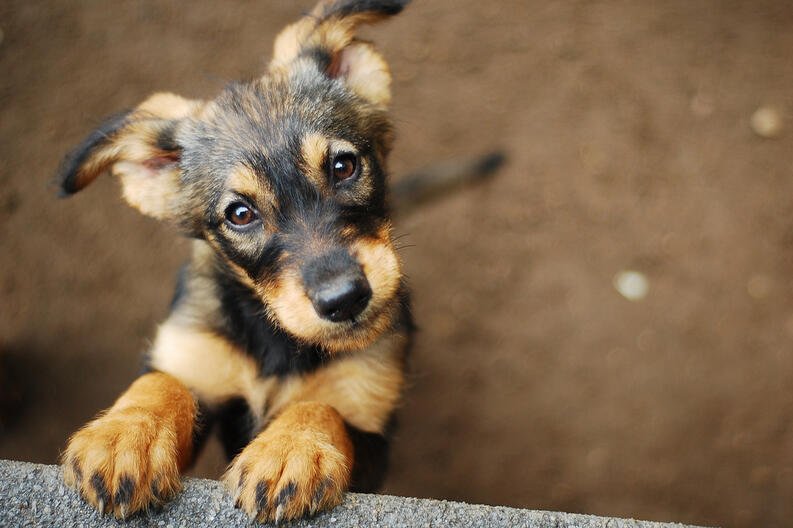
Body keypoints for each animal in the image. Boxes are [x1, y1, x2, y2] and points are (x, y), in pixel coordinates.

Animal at [57, 0, 502, 520]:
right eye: (240, 214)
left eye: (344, 166)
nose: (345, 299)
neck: (279, 341)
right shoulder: (196, 356)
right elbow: (162, 384)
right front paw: (125, 435)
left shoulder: (370, 429)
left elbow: (321, 407)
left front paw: (291, 449)